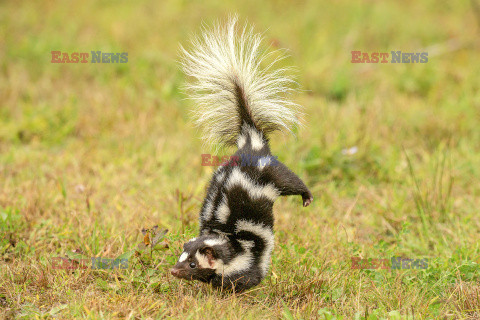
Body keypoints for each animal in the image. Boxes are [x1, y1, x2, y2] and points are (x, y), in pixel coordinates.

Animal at [171, 17, 314, 292]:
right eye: (181, 258)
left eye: (192, 264)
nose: (173, 270)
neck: (229, 241)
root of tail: (250, 140)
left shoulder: (251, 256)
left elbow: (248, 275)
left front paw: (236, 288)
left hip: (271, 172)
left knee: (292, 181)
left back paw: (307, 197)